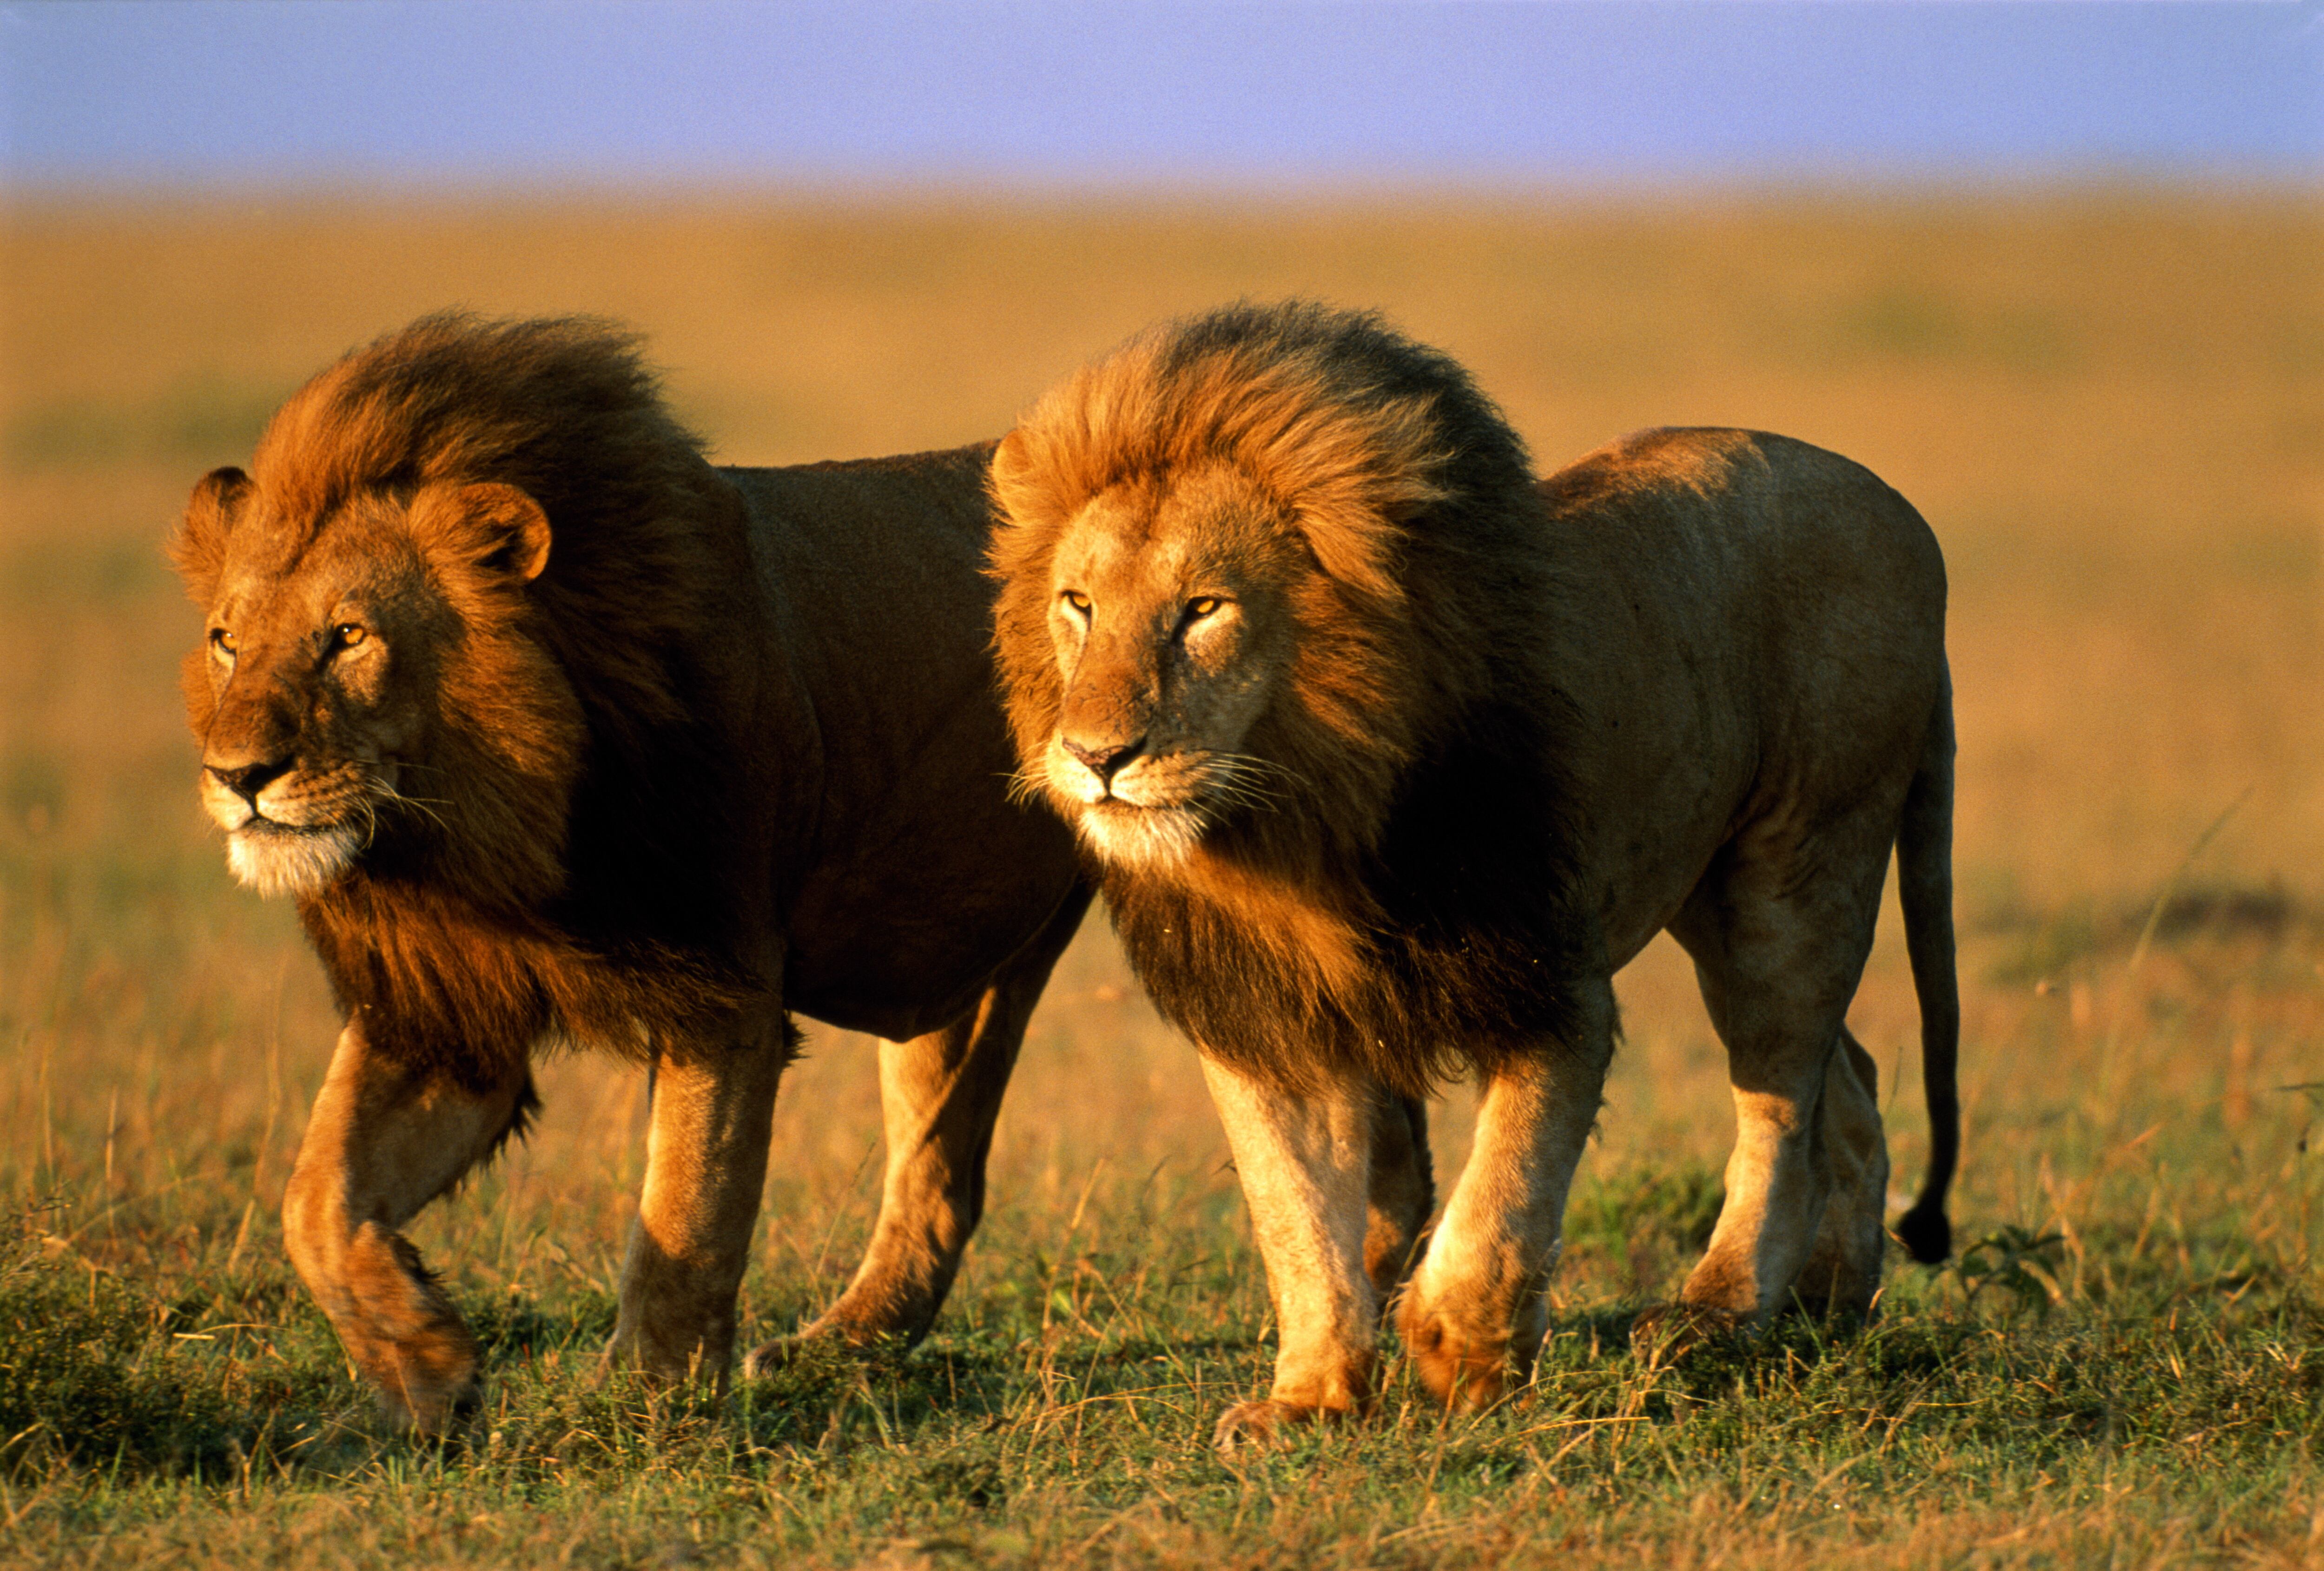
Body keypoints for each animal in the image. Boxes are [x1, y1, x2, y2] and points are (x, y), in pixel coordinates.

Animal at [170, 311, 1098, 1433]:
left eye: (348, 636)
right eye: (226, 642)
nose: (238, 775)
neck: (482, 834)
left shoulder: (723, 988)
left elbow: (686, 1213)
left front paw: (647, 1404)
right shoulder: (449, 1001)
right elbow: (315, 1197)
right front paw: (428, 1365)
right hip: (961, 954)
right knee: (941, 1178)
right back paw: (836, 1349)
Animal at [987, 301, 1961, 1450]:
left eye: (1203, 608)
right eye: (1077, 604)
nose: (1096, 756)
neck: (1293, 825)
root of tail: (1897, 507)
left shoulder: (1551, 985)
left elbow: (1504, 1189)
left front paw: (1461, 1351)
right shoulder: (1266, 1020)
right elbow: (1294, 1219)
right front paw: (1309, 1398)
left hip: (1796, 865)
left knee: (1779, 1097)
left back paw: (1716, 1313)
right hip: (1715, 889)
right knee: (1841, 1076)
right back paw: (1828, 1301)